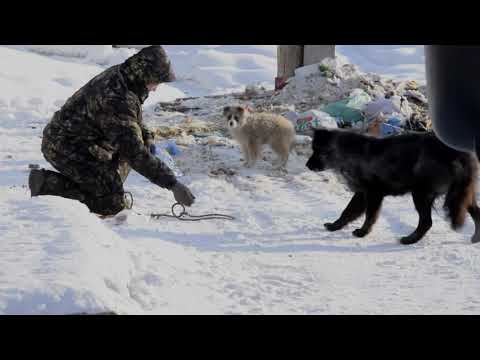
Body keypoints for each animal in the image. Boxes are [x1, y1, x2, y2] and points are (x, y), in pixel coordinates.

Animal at [308, 127, 480, 245]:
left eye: (318, 151)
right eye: (313, 149)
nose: (307, 165)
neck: (349, 152)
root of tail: (459, 154)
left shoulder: (373, 193)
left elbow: (370, 216)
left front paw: (363, 232)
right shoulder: (362, 193)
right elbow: (347, 211)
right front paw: (334, 226)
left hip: (421, 194)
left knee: (426, 222)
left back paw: (409, 240)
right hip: (462, 195)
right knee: (477, 213)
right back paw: (475, 238)